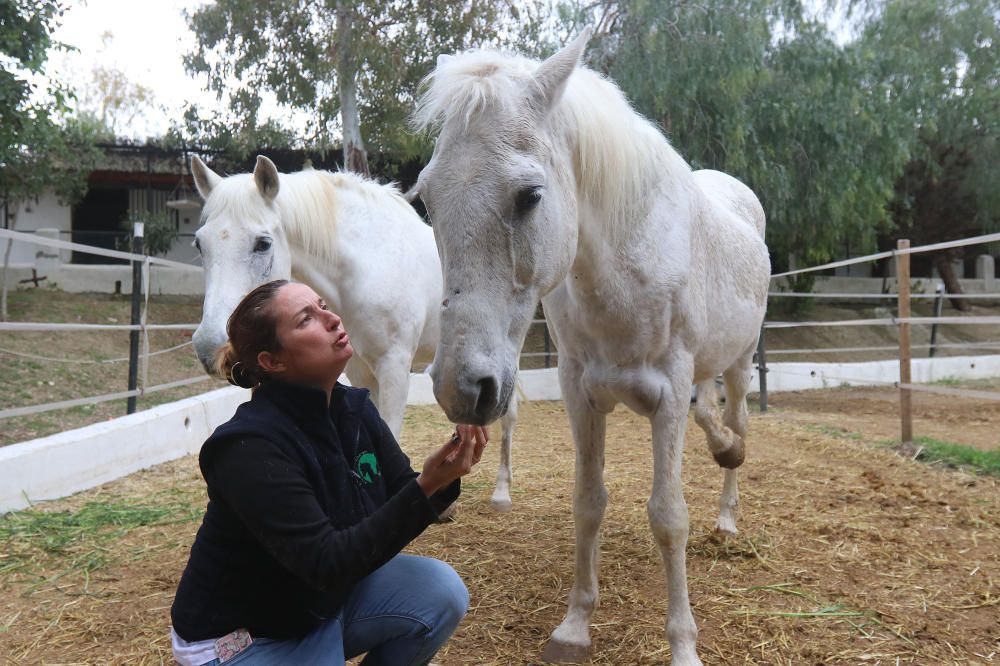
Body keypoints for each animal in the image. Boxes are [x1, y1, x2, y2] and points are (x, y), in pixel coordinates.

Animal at [186, 156, 524, 508]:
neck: (367, 266)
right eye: (200, 243)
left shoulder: (394, 366)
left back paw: (501, 492)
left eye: (262, 243)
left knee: (509, 414)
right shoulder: (359, 369)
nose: (210, 346)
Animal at [410, 29, 768, 664]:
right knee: (712, 415)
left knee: (738, 422)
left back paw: (727, 513)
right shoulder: (581, 391)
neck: (623, 272)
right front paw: (574, 627)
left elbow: (669, 516)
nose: (461, 388)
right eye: (426, 198)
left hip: (740, 361)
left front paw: (683, 645)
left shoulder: (669, 393)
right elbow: (588, 502)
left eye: (530, 195)